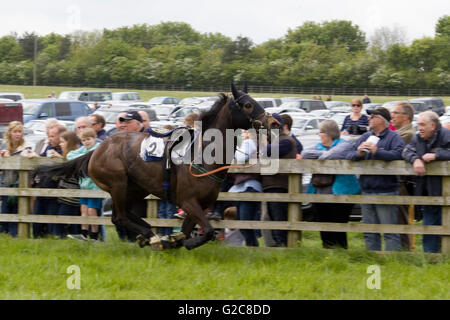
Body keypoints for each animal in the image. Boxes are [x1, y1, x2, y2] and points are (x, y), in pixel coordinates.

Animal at [37, 84, 270, 251]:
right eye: (248, 105)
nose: (271, 122)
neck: (202, 156)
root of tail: (96, 149)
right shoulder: (188, 201)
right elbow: (208, 231)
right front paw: (176, 241)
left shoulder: (200, 205)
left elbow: (191, 231)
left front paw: (174, 240)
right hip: (118, 183)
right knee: (119, 216)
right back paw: (152, 236)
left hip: (136, 188)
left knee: (124, 213)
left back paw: (149, 234)